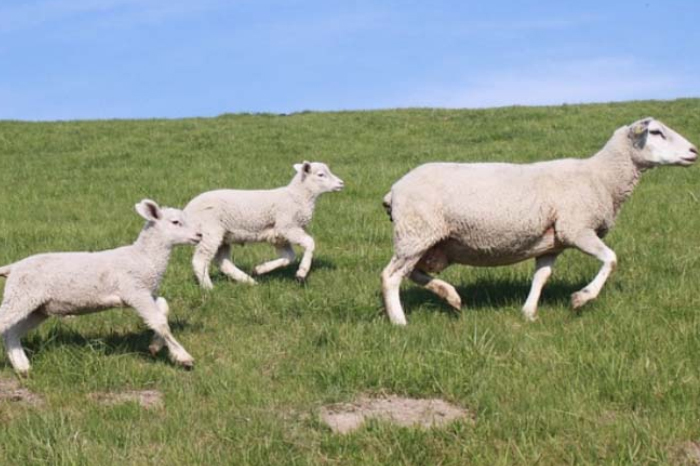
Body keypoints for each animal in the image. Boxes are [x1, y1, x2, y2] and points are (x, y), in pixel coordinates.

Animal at [0, 198, 202, 374]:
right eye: (175, 222)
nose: (199, 235)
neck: (143, 256)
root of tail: (13, 267)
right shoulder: (135, 290)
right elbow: (159, 321)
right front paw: (184, 357)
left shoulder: (144, 292)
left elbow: (163, 308)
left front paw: (155, 346)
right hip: (20, 296)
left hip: (37, 307)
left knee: (12, 333)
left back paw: (23, 368)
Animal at [183, 162, 342, 290]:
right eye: (321, 174)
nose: (341, 183)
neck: (297, 196)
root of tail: (186, 211)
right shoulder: (287, 226)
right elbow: (310, 243)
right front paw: (302, 273)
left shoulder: (280, 236)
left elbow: (289, 257)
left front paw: (260, 269)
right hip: (209, 232)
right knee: (200, 261)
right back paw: (209, 288)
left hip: (223, 236)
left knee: (223, 262)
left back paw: (249, 281)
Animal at [382, 117, 700, 324]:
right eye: (656, 132)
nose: (693, 151)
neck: (601, 176)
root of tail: (394, 190)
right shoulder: (576, 228)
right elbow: (611, 258)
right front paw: (581, 298)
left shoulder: (552, 242)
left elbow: (541, 277)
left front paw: (528, 313)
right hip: (416, 233)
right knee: (390, 277)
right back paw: (400, 322)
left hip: (431, 244)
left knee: (413, 273)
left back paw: (450, 296)